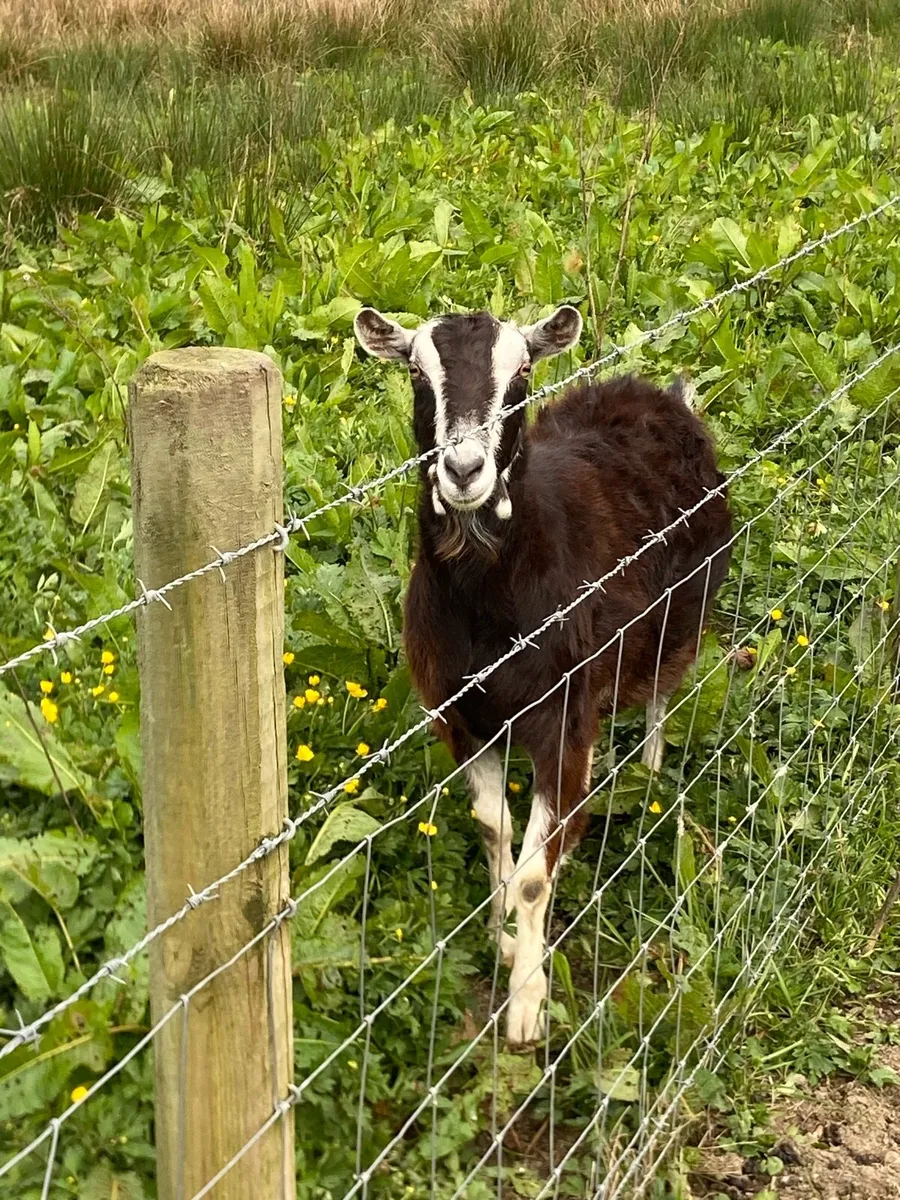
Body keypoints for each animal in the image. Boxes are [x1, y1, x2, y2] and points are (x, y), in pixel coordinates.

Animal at [355, 305, 732, 1044]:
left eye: (522, 372)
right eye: (417, 372)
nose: (464, 468)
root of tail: (663, 397)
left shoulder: (561, 718)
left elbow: (536, 872)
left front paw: (527, 1003)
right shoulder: (462, 716)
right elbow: (492, 824)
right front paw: (501, 934)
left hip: (686, 612)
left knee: (662, 694)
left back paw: (649, 777)